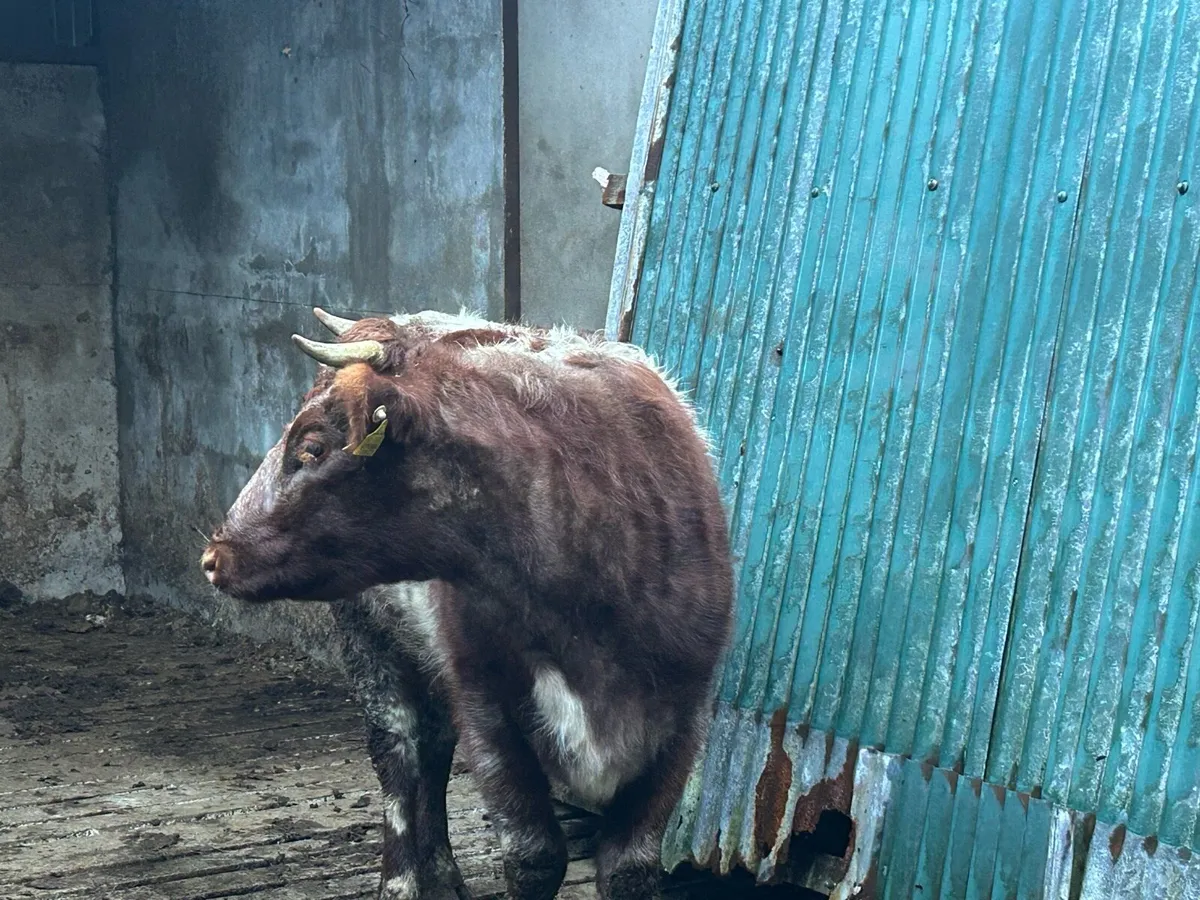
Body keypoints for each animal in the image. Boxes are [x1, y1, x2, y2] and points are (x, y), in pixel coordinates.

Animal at [200, 307, 733, 900]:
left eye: (311, 447)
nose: (214, 556)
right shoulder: (488, 706)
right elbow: (533, 855)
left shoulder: (682, 721)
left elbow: (630, 868)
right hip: (372, 638)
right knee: (400, 753)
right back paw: (402, 881)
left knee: (434, 750)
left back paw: (443, 875)